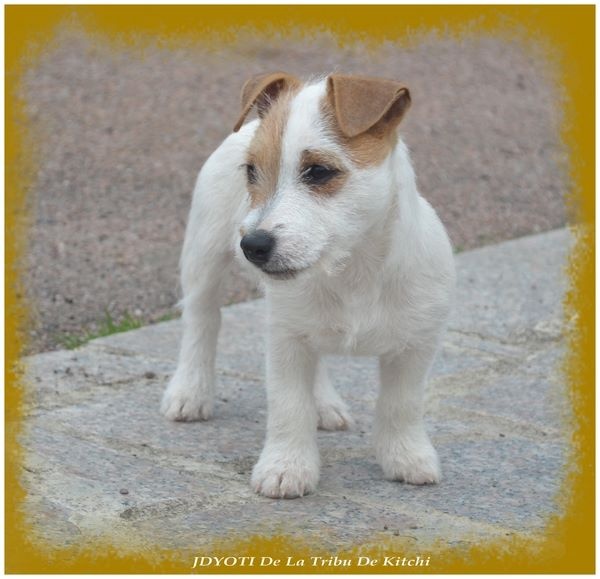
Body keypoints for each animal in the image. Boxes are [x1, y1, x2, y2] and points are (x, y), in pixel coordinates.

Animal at [161, 72, 456, 499]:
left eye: (318, 171)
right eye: (251, 172)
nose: (252, 245)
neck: (351, 269)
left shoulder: (417, 345)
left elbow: (402, 404)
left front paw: (407, 457)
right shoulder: (285, 341)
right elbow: (289, 406)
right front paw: (286, 467)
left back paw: (325, 405)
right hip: (203, 257)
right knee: (202, 323)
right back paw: (189, 392)